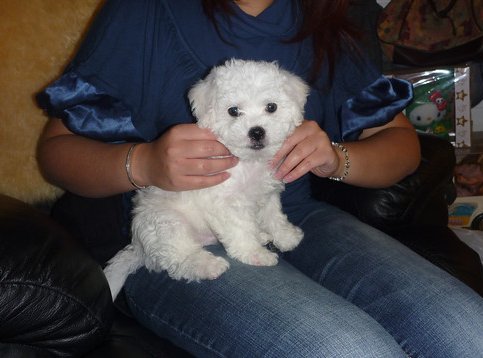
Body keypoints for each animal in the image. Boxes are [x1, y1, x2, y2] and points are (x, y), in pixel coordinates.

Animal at [105, 59, 310, 300]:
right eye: (233, 111)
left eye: (271, 107)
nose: (257, 132)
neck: (248, 162)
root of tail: (137, 245)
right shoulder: (225, 202)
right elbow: (240, 229)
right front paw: (254, 254)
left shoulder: (267, 194)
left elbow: (273, 216)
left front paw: (286, 236)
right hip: (167, 223)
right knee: (179, 257)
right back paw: (208, 265)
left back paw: (260, 235)